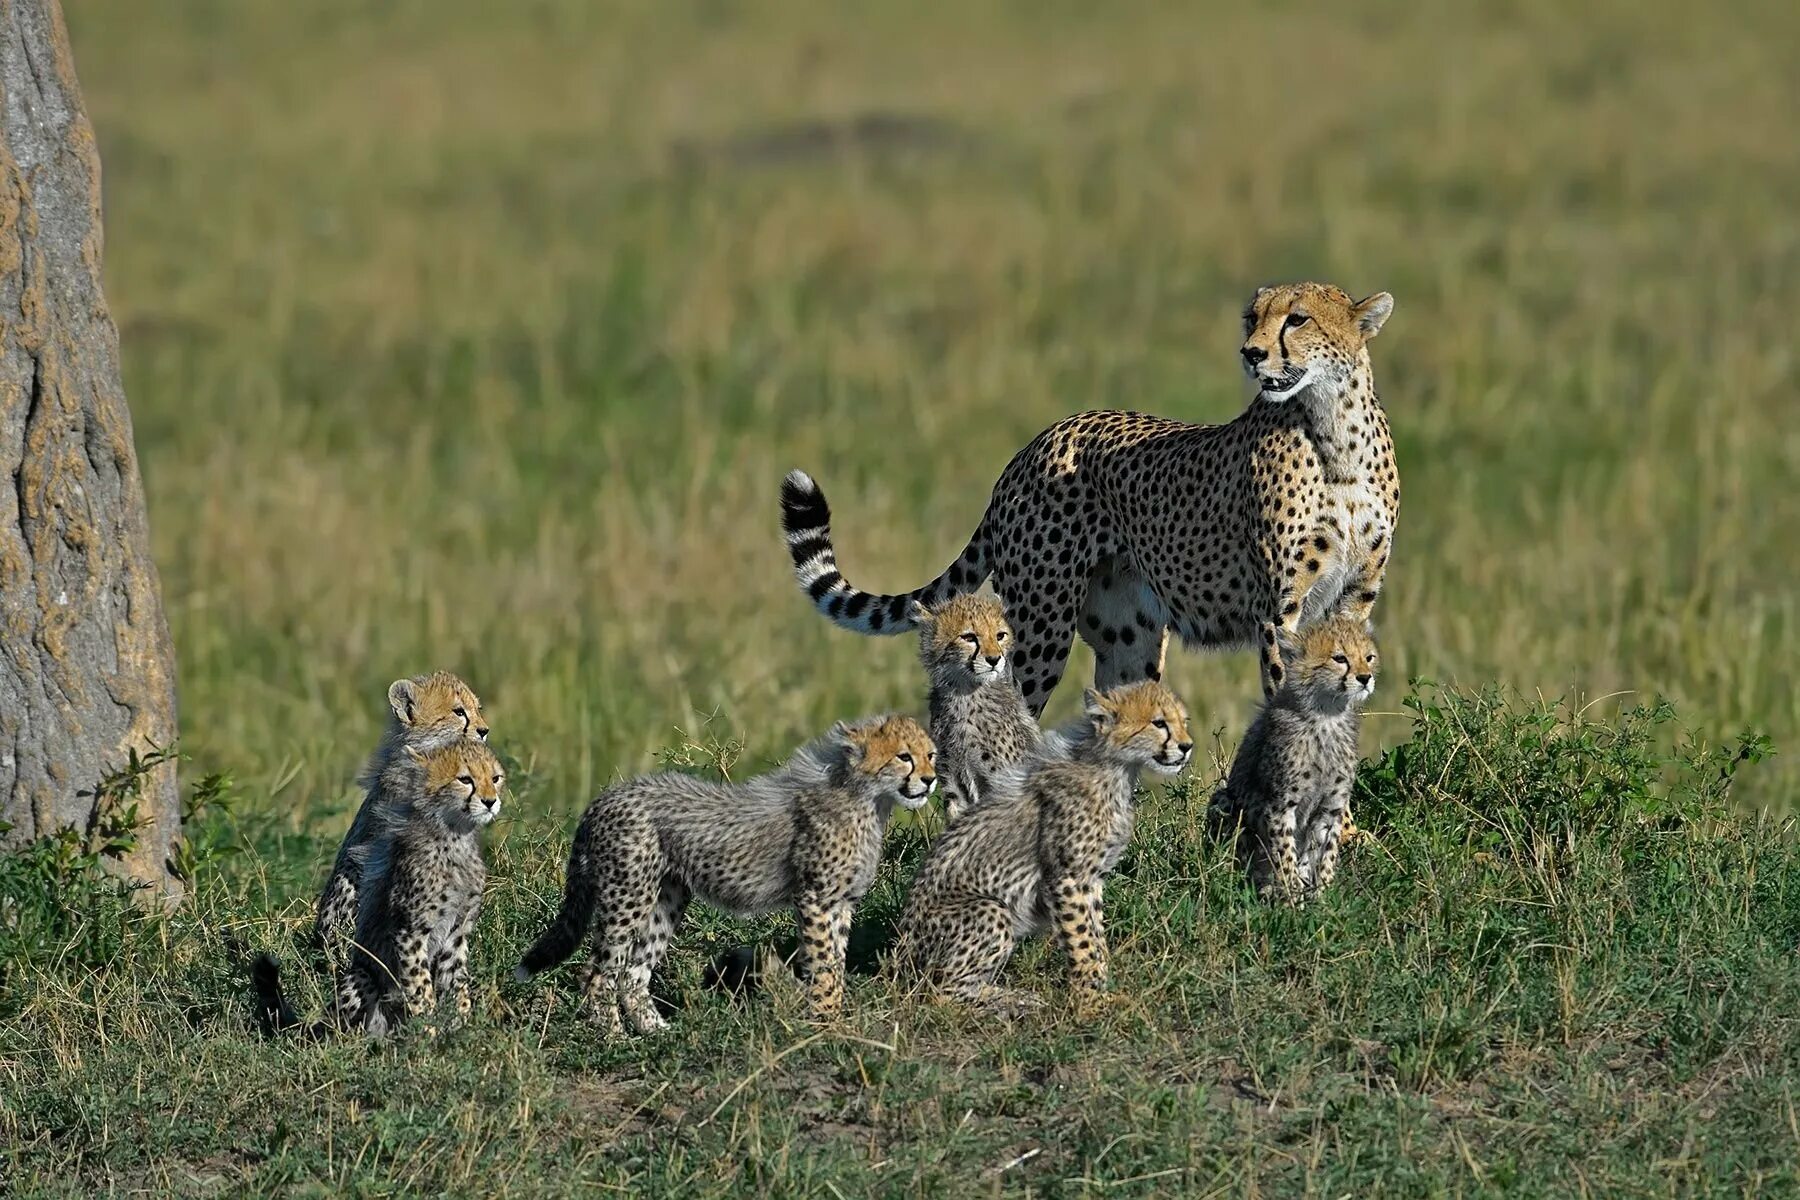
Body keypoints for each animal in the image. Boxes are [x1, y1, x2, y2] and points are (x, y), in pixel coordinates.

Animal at [781, 282, 1396, 712]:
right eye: (1253, 318)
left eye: (1297, 318)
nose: (1251, 353)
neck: (1333, 430)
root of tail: (1037, 441)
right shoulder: (1278, 608)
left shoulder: (1353, 596)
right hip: (1041, 620)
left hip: (1129, 636)